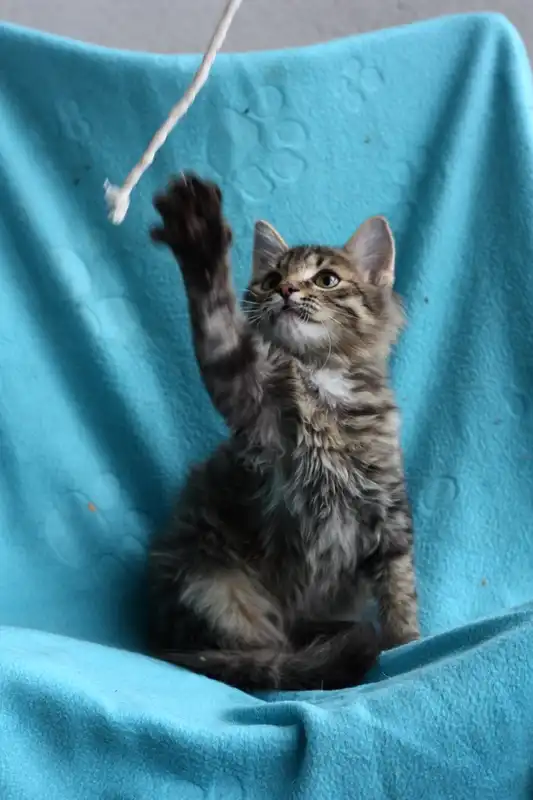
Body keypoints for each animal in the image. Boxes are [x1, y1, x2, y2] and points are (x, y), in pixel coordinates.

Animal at [147, 173, 419, 691]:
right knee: (259, 652)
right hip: (216, 587)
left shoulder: (387, 507)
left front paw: (409, 643)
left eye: (327, 279)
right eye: (272, 279)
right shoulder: (251, 402)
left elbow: (400, 587)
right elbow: (218, 325)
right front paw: (199, 240)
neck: (324, 382)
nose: (287, 290)